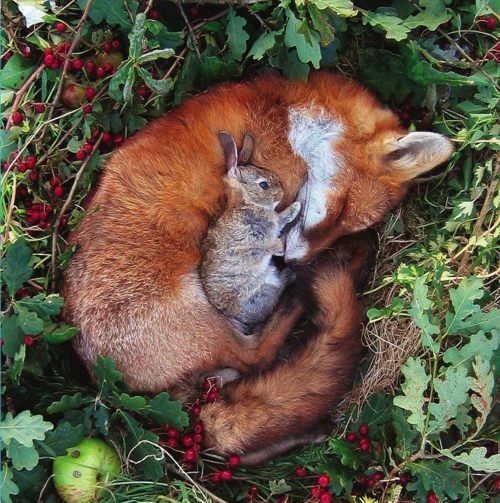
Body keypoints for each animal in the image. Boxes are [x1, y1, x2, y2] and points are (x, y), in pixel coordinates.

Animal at [200, 132, 300, 332]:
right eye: (264, 185)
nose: (281, 194)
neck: (247, 202)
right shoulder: (253, 237)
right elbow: (272, 234)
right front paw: (296, 207)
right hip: (262, 292)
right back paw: (290, 273)